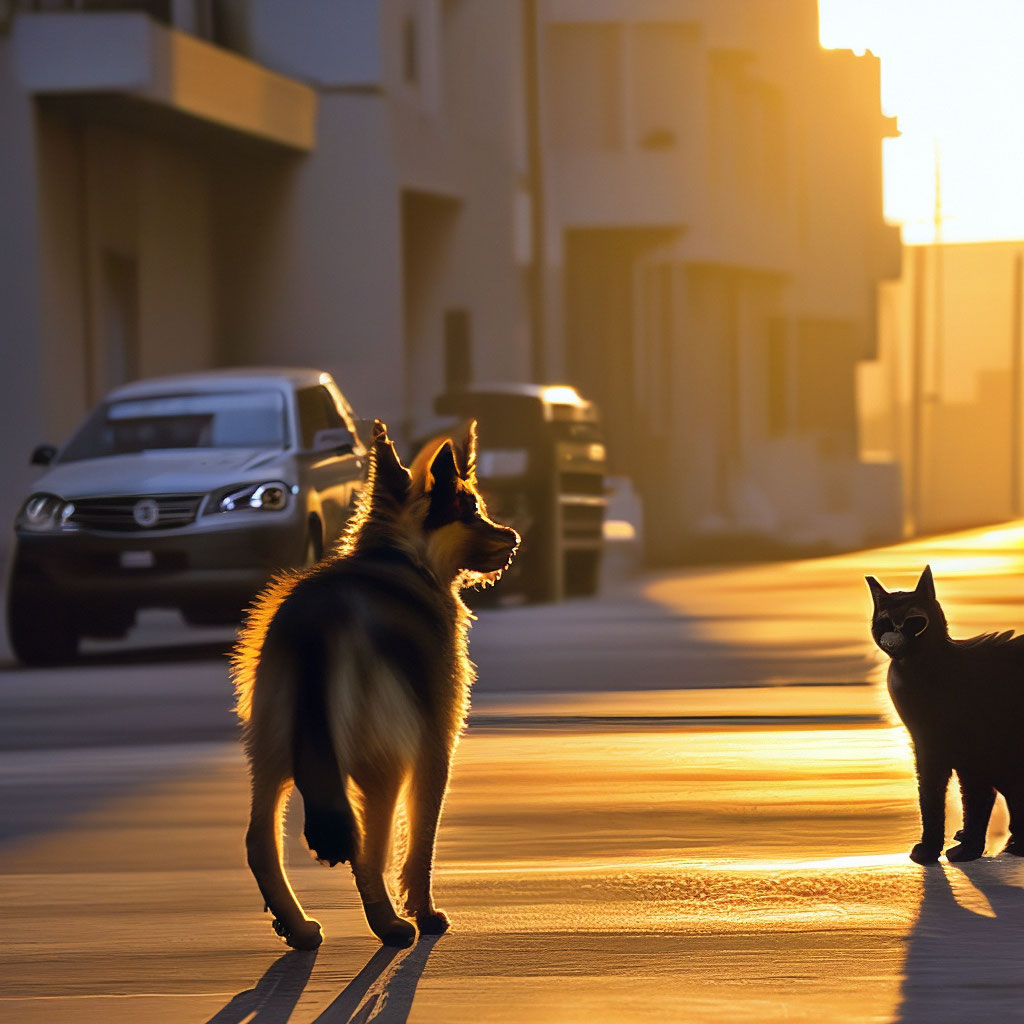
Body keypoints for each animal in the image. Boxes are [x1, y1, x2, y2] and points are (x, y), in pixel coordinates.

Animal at [233, 419, 520, 946]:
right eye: (470, 511)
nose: (512, 536)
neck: (399, 555)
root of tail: (320, 623)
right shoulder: (434, 746)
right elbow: (422, 842)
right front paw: (425, 913)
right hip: (383, 764)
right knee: (369, 848)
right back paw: (391, 925)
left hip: (272, 750)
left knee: (260, 840)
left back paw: (297, 926)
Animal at [864, 569, 1024, 864]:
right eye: (885, 622)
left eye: (915, 622)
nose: (897, 634)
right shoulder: (925, 744)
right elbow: (935, 797)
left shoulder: (965, 752)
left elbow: (963, 801)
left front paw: (958, 851)